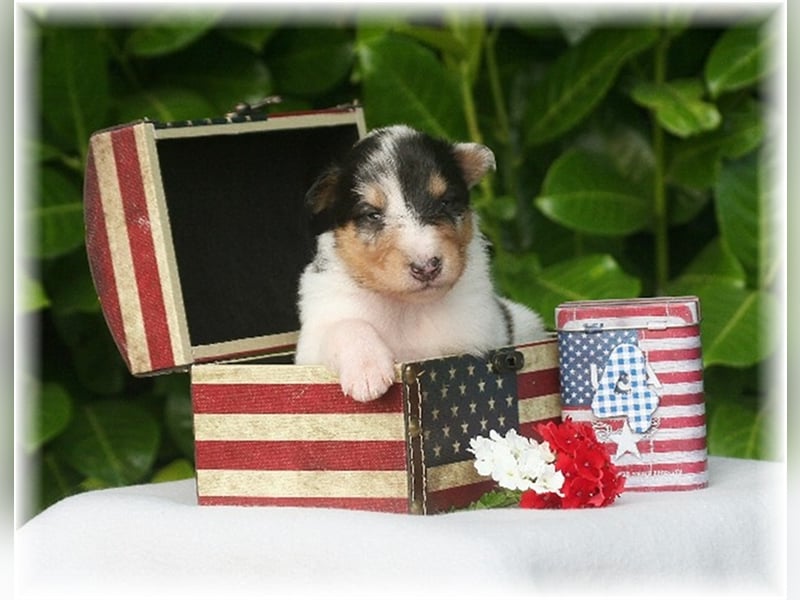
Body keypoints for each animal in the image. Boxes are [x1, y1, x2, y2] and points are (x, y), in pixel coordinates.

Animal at [296, 124, 552, 400]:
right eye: (372, 214)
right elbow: (345, 326)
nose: (427, 267)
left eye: (446, 202)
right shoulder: (315, 337)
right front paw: (367, 373)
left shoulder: (476, 332)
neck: (408, 308)